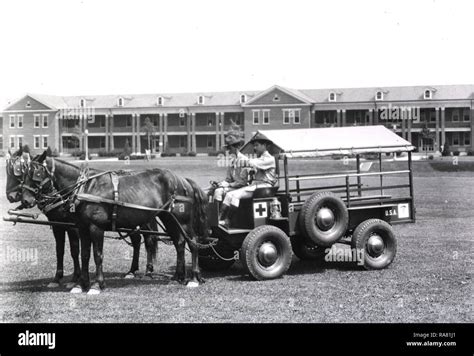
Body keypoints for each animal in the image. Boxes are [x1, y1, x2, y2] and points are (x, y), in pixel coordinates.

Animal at [19, 152, 209, 294]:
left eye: (36, 173)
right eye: (24, 174)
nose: (25, 200)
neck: (86, 188)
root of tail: (183, 180)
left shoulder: (95, 228)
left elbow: (97, 255)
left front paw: (97, 284)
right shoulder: (82, 228)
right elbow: (84, 254)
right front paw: (81, 284)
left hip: (183, 220)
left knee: (192, 242)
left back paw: (193, 278)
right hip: (168, 218)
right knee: (179, 243)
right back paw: (177, 277)